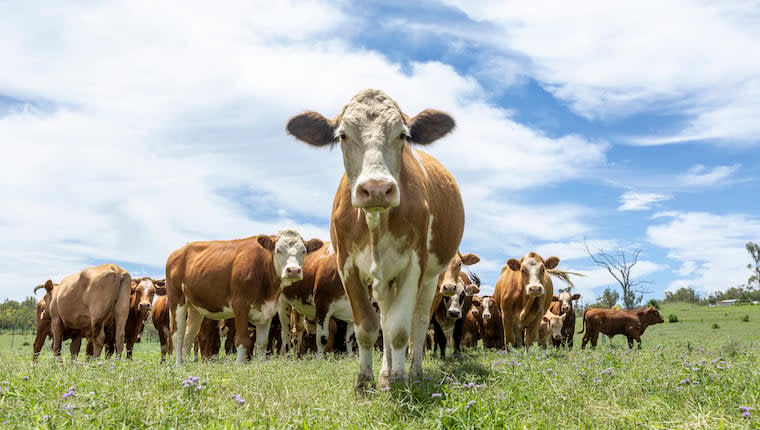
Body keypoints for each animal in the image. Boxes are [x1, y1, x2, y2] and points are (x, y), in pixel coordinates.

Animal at [166, 228, 320, 362]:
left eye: (304, 251)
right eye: (278, 250)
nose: (293, 270)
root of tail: (178, 252)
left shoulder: (267, 310)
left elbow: (262, 343)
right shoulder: (240, 305)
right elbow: (242, 340)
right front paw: (240, 364)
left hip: (195, 307)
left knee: (189, 335)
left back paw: (187, 364)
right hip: (177, 299)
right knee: (178, 335)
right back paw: (179, 365)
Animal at [288, 89, 464, 392]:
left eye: (402, 135)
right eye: (342, 135)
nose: (377, 189)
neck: (375, 222)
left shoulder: (414, 266)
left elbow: (400, 329)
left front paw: (400, 379)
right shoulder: (347, 265)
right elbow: (368, 328)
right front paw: (366, 380)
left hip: (431, 279)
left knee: (418, 323)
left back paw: (414, 372)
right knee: (385, 316)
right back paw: (384, 374)